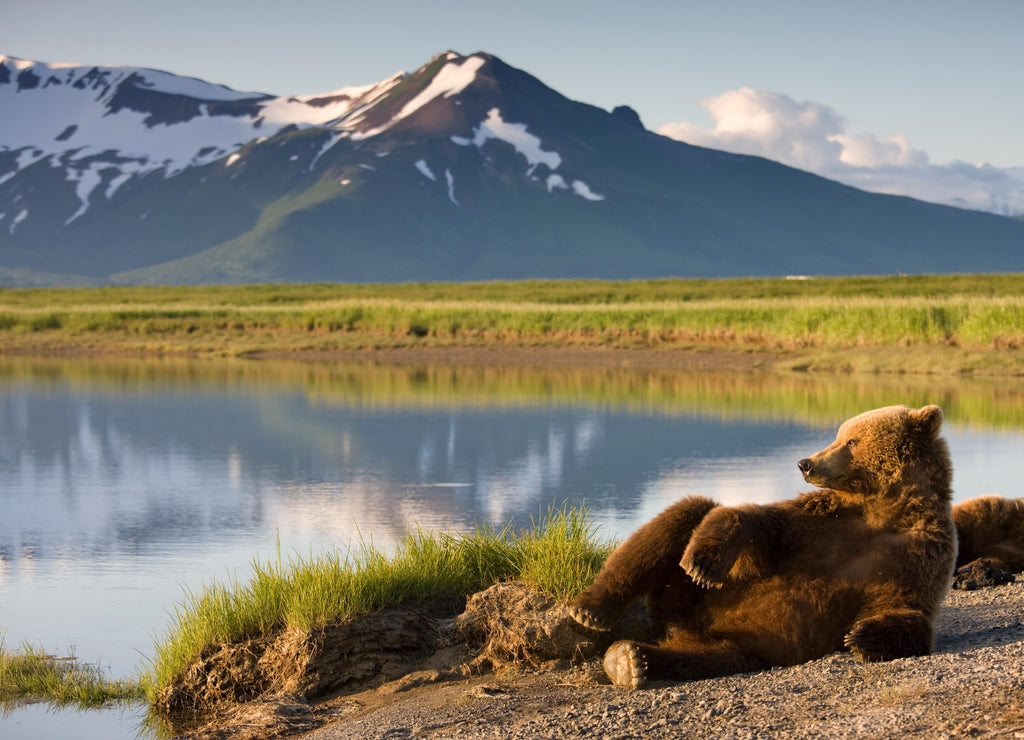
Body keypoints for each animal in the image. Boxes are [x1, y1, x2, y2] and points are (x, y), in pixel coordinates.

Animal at [569, 404, 957, 689]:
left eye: (851, 441)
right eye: (839, 435)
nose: (806, 463)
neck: (882, 509)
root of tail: (681, 625)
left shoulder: (916, 553)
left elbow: (908, 608)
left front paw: (864, 636)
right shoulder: (821, 523)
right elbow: (759, 524)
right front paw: (703, 563)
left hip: (735, 643)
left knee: (703, 657)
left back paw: (631, 660)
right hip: (688, 594)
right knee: (685, 513)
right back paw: (592, 611)